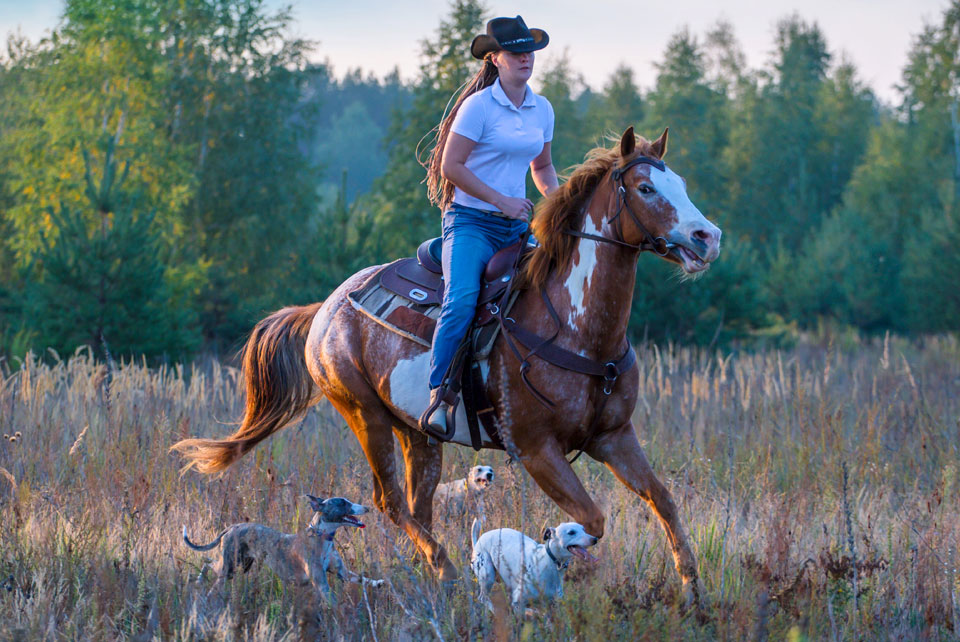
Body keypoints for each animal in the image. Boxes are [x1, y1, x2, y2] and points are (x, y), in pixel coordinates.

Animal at [184, 492, 382, 604]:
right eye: (343, 503)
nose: (367, 507)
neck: (320, 537)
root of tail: (233, 527)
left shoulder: (343, 573)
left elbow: (362, 578)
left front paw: (378, 582)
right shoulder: (321, 583)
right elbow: (333, 602)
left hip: (243, 565)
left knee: (209, 561)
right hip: (230, 567)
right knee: (208, 563)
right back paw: (201, 585)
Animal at [468, 516, 596, 608]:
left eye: (584, 529)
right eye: (571, 532)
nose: (595, 539)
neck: (549, 562)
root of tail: (478, 541)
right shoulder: (518, 603)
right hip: (487, 577)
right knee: (483, 599)